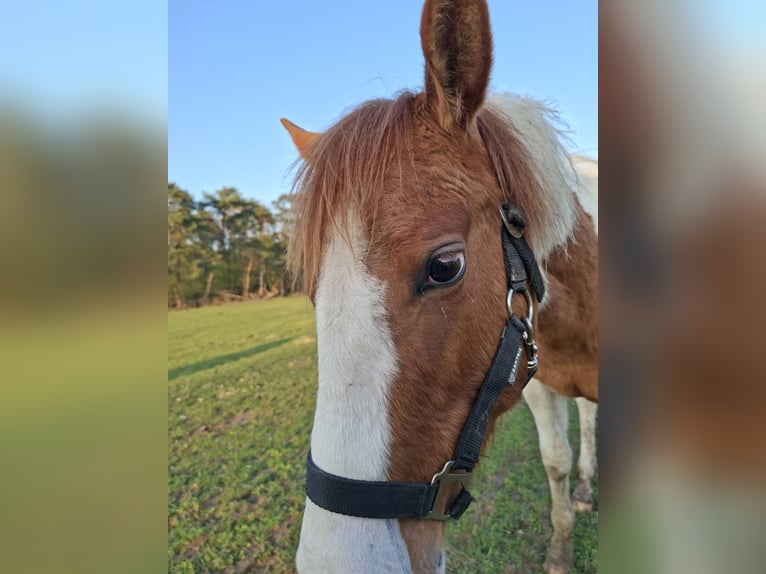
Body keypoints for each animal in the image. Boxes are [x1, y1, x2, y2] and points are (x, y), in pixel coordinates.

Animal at [280, 1, 598, 572]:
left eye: (445, 266)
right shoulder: (537, 380)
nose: (336, 561)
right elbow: (555, 461)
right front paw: (561, 545)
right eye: (312, 290)